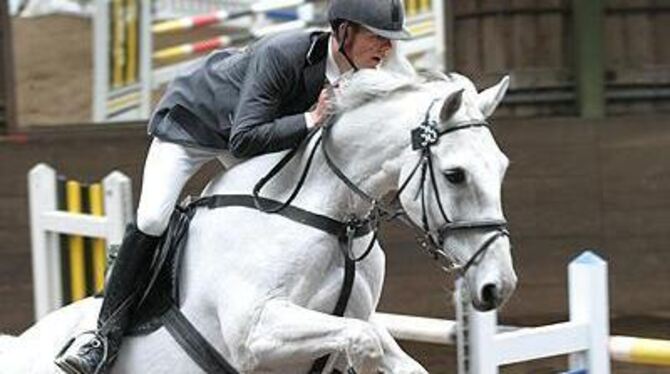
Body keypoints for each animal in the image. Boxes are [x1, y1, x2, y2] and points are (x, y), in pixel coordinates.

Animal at [0, 69, 520, 372]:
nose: (499, 286)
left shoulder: (354, 316)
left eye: (502, 167)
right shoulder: (255, 333)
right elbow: (364, 342)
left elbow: (382, 348)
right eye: (455, 175)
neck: (325, 218)